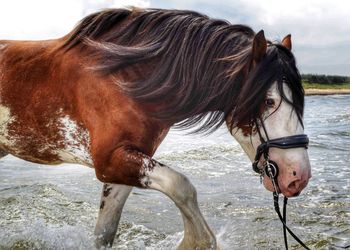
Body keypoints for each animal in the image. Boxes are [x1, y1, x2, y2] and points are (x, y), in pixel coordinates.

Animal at [0, 8, 312, 250]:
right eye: (269, 100)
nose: (298, 177)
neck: (122, 78)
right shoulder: (109, 161)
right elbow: (181, 186)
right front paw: (194, 242)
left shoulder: (120, 169)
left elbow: (105, 233)